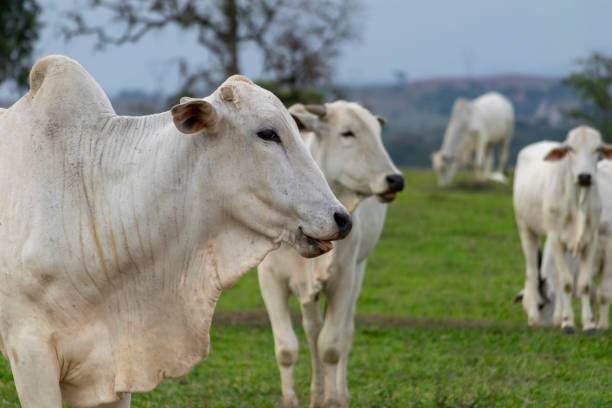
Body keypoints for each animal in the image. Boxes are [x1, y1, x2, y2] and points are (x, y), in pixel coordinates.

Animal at [256, 101, 404, 408]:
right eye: (347, 133)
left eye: (378, 133)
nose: (395, 179)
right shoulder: (271, 280)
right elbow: (287, 348)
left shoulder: (343, 279)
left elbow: (332, 346)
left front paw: (333, 400)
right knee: (312, 330)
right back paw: (316, 393)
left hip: (359, 271)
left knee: (344, 333)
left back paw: (338, 393)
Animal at [512, 126, 612, 334]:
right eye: (570, 149)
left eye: (597, 149)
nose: (584, 176)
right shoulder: (557, 237)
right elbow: (566, 282)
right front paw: (567, 321)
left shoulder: (600, 243)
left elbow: (597, 290)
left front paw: (597, 325)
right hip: (525, 228)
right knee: (532, 272)